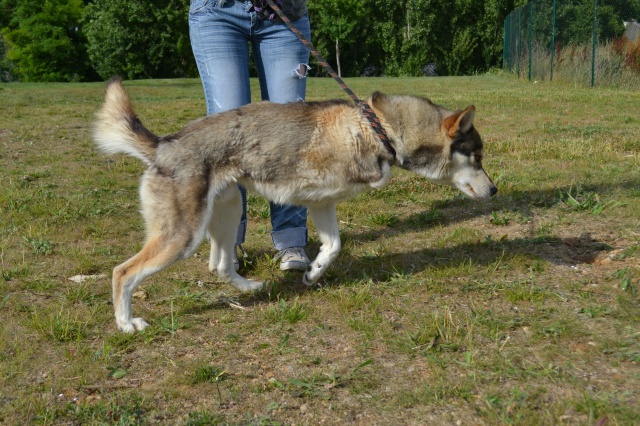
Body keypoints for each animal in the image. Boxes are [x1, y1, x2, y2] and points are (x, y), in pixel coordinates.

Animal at [92, 77, 498, 332]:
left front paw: (313, 273)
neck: (377, 128)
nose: (494, 190)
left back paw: (250, 289)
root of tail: (163, 144)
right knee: (122, 273)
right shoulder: (309, 199)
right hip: (183, 237)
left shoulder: (322, 203)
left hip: (227, 213)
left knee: (219, 265)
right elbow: (332, 244)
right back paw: (126, 324)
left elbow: (333, 247)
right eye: (477, 157)